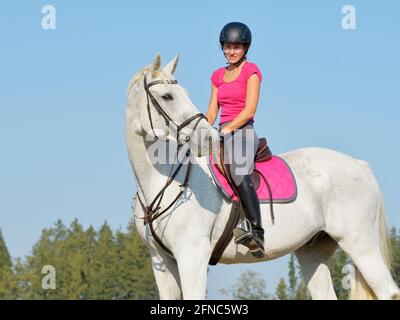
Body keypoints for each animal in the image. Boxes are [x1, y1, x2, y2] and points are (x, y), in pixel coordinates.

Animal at [126, 53, 400, 300]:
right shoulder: (162, 261)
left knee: (388, 291)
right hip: (313, 251)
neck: (164, 180)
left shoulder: (192, 254)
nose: (209, 139)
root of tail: (360, 165)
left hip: (360, 244)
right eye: (167, 96)